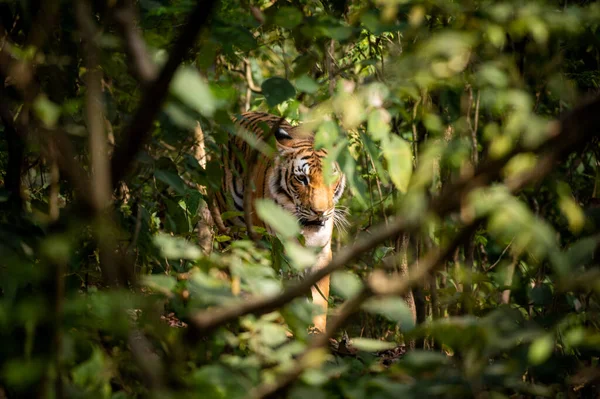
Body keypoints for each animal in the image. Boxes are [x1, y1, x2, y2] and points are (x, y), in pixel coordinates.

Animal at [214, 111, 346, 332]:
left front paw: (316, 332)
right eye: (302, 179)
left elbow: (319, 298)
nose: (320, 212)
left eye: (331, 177)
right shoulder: (275, 250)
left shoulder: (320, 253)